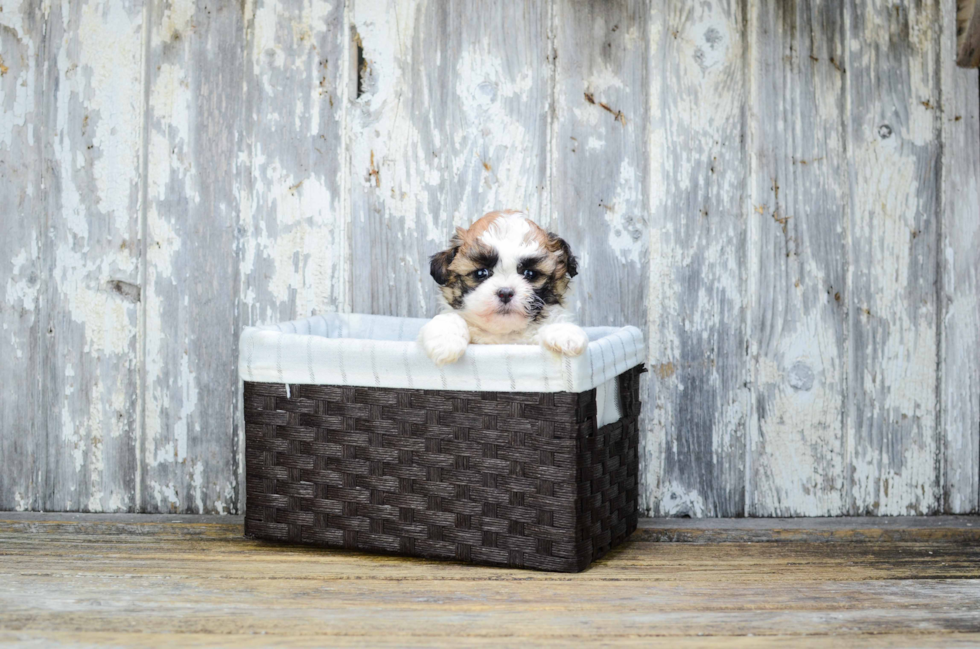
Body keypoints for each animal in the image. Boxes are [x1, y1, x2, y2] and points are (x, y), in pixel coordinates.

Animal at [416, 211, 584, 364]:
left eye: (530, 273)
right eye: (481, 273)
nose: (505, 293)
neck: (504, 334)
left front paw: (565, 333)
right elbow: (450, 316)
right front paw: (445, 341)